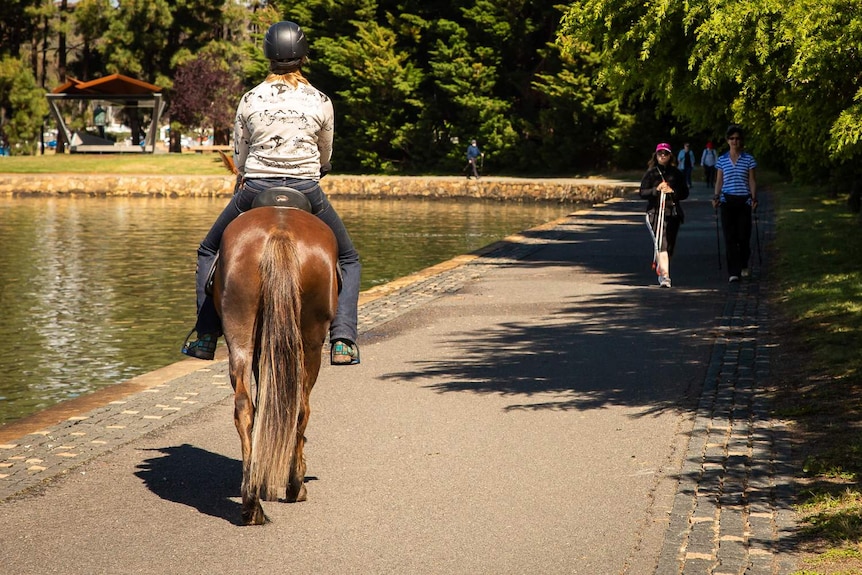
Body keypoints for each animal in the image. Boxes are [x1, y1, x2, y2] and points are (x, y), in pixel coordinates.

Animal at [213, 204, 340, 528]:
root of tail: (280, 232)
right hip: (311, 340)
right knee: (300, 408)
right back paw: (294, 485)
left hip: (240, 328)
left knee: (245, 407)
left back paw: (251, 503)